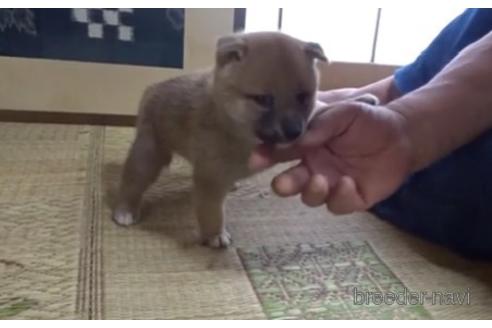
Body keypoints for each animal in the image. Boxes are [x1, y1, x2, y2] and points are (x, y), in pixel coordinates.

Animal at [113, 32, 376, 249]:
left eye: (303, 97)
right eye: (263, 99)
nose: (294, 131)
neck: (232, 123)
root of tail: (152, 88)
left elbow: (323, 106)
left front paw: (362, 100)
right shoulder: (211, 177)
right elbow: (211, 210)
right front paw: (214, 234)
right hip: (149, 152)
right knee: (132, 181)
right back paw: (124, 210)